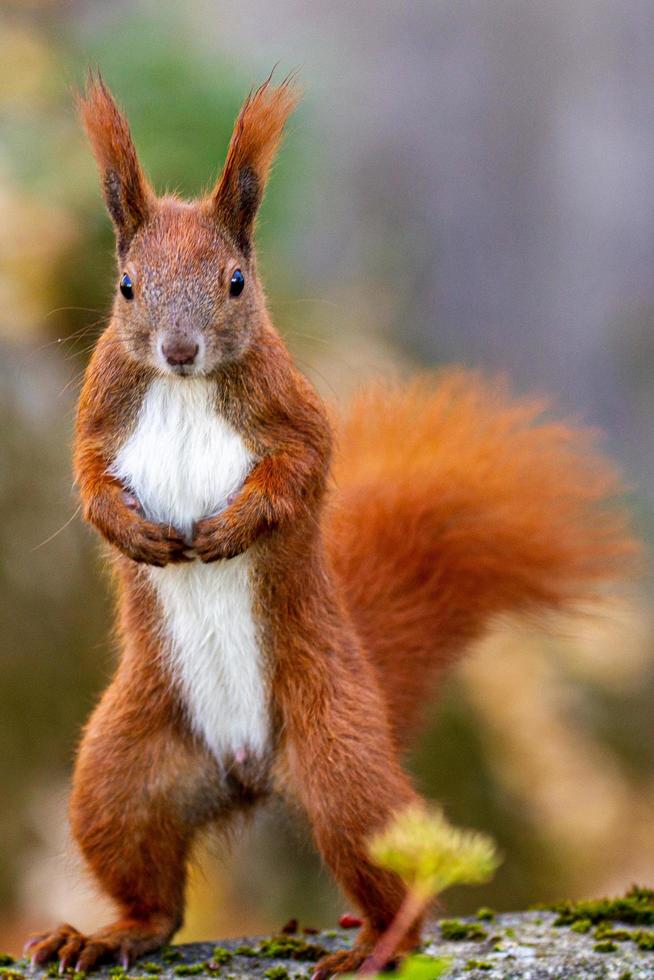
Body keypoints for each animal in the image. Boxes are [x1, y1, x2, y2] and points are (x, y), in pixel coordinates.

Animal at [28, 74, 640, 972]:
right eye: (127, 285)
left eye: (236, 280)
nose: (179, 349)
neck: (184, 390)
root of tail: (248, 771)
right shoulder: (97, 415)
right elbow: (86, 483)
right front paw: (135, 534)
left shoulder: (295, 416)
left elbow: (300, 473)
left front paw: (230, 530)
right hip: (119, 775)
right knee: (154, 896)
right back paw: (105, 934)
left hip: (341, 760)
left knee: (397, 873)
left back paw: (377, 945)